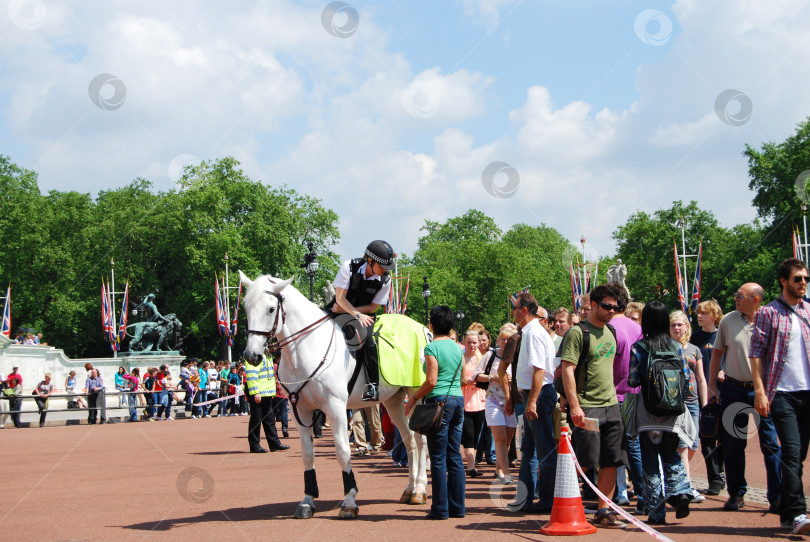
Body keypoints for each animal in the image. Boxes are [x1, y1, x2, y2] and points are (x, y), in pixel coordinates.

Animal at [240, 274, 430, 520]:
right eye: (246, 307)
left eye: (271, 309)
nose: (251, 356)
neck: (306, 348)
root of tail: (421, 328)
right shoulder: (300, 410)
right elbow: (307, 454)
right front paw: (307, 501)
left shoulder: (336, 408)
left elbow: (342, 451)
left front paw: (349, 501)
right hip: (393, 401)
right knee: (409, 441)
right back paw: (409, 489)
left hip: (415, 396)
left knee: (421, 440)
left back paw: (420, 489)